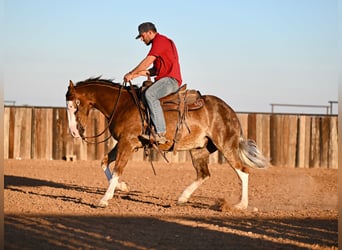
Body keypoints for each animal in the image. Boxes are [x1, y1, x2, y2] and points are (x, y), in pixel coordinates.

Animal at [65, 77, 268, 209]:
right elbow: (104, 162)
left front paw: (104, 199)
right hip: (199, 149)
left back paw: (241, 205)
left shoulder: (127, 143)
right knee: (204, 174)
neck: (122, 105)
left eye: (75, 105)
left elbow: (117, 169)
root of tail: (229, 110)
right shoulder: (123, 143)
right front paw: (122, 187)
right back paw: (183, 198)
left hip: (226, 145)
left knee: (243, 171)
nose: (74, 132)